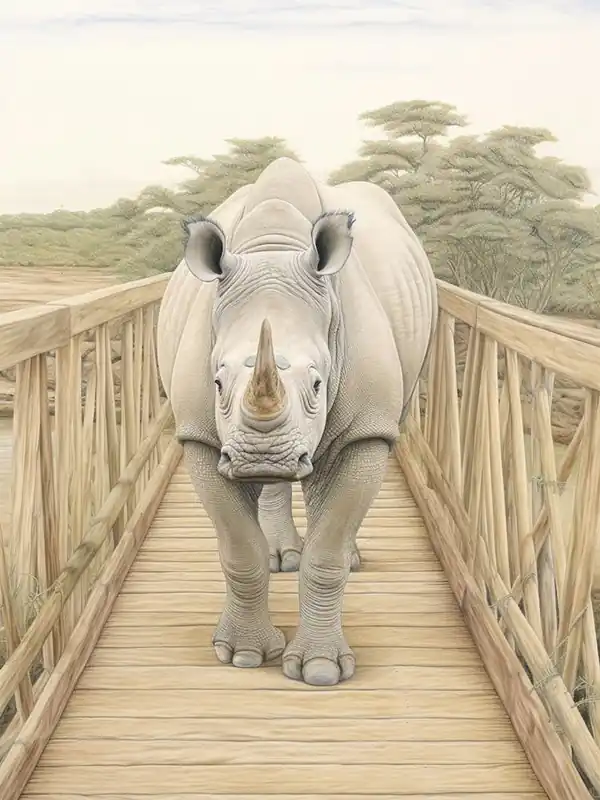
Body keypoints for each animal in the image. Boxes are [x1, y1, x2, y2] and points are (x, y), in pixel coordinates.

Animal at [157, 157, 437, 686]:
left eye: (318, 385)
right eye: (217, 382)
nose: (261, 456)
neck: (274, 250)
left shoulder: (366, 430)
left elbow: (327, 553)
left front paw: (321, 670)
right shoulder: (203, 439)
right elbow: (238, 550)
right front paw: (243, 656)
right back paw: (280, 554)